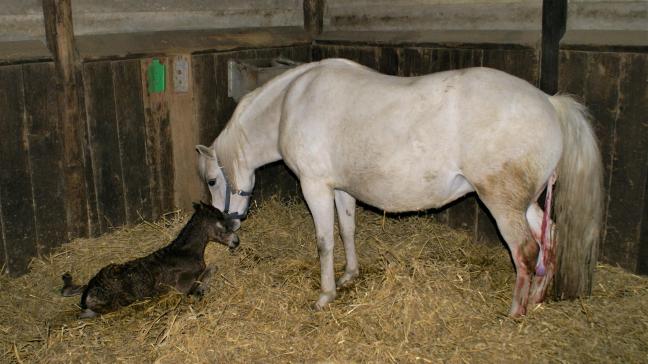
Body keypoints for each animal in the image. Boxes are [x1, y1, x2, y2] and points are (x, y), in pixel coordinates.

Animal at [59, 203, 238, 318]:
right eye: (221, 224)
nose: (236, 241)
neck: (185, 253)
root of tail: (90, 290)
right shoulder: (180, 289)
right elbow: (211, 269)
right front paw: (200, 292)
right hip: (114, 304)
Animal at [197, 58, 604, 318]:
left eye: (213, 180)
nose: (231, 223)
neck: (290, 103)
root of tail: (550, 103)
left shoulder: (315, 187)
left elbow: (325, 241)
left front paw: (325, 295)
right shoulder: (340, 188)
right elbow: (347, 230)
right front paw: (349, 275)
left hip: (502, 204)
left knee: (525, 251)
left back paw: (516, 311)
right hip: (524, 202)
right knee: (549, 238)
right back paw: (536, 299)